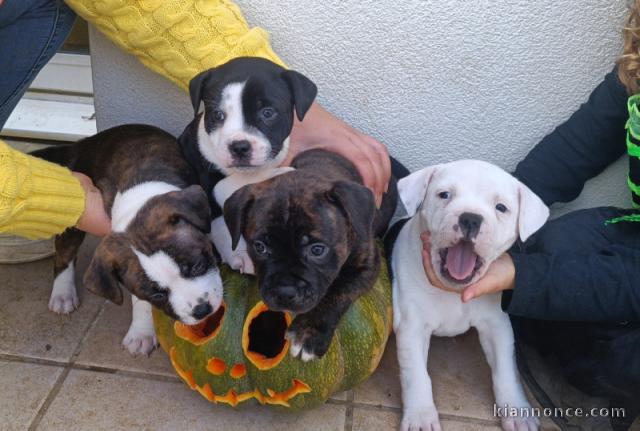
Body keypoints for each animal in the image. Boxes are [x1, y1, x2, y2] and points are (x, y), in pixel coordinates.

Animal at [36, 125, 225, 358]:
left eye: (198, 266)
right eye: (157, 294)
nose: (201, 310)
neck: (140, 200)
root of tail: (83, 142)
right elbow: (140, 302)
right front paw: (141, 334)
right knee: (64, 254)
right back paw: (62, 294)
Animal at [222, 150, 398, 360]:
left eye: (317, 250)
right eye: (260, 247)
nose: (285, 292)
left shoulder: (366, 263)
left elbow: (338, 291)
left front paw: (308, 331)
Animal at [392, 161, 548, 431]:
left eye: (501, 207)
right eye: (444, 195)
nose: (471, 218)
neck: (452, 292)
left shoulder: (497, 325)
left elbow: (506, 370)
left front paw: (516, 410)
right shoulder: (411, 325)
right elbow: (417, 374)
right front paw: (421, 416)